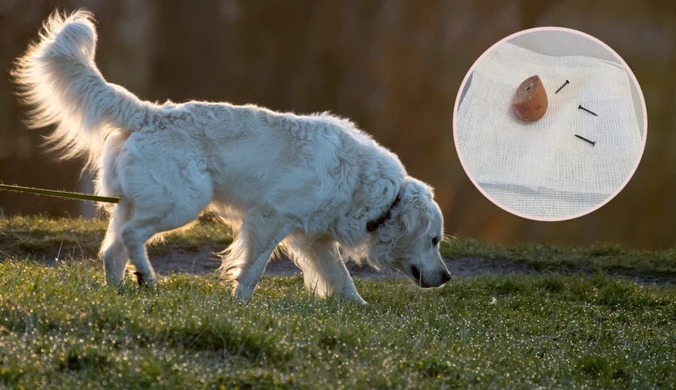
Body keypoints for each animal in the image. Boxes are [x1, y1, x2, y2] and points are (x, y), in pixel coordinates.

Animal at [13, 8, 448, 302]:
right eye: (435, 240)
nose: (446, 278)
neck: (371, 191)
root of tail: (150, 113)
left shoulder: (316, 239)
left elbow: (342, 280)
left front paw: (358, 307)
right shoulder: (271, 219)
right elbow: (252, 269)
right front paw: (240, 304)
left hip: (137, 203)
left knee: (111, 251)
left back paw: (122, 289)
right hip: (183, 203)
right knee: (131, 237)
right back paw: (149, 279)